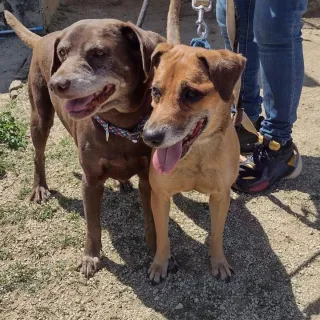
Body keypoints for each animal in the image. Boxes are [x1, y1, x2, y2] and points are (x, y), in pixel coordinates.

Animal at [5, 10, 165, 278]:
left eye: (99, 52)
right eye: (62, 53)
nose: (56, 84)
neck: (119, 125)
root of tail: (42, 39)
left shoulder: (149, 178)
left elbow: (153, 221)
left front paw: (159, 255)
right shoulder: (90, 181)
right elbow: (92, 225)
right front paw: (91, 257)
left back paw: (122, 182)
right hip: (40, 116)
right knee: (38, 154)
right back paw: (40, 188)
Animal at [142, 1, 245, 284]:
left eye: (191, 94)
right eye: (155, 91)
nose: (150, 137)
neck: (196, 153)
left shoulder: (220, 196)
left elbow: (218, 234)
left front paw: (219, 262)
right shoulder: (160, 196)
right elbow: (163, 236)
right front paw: (160, 264)